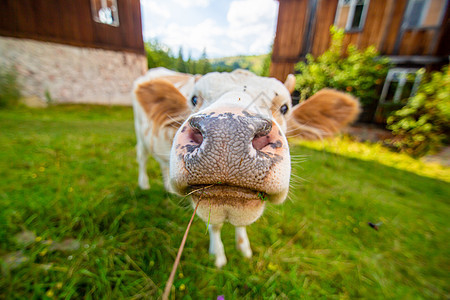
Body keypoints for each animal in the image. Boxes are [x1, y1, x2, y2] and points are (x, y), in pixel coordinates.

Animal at [133, 67, 358, 268]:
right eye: (194, 99)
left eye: (285, 108)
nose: (228, 131)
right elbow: (215, 225)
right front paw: (218, 256)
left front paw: (244, 248)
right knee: (142, 158)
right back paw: (143, 184)